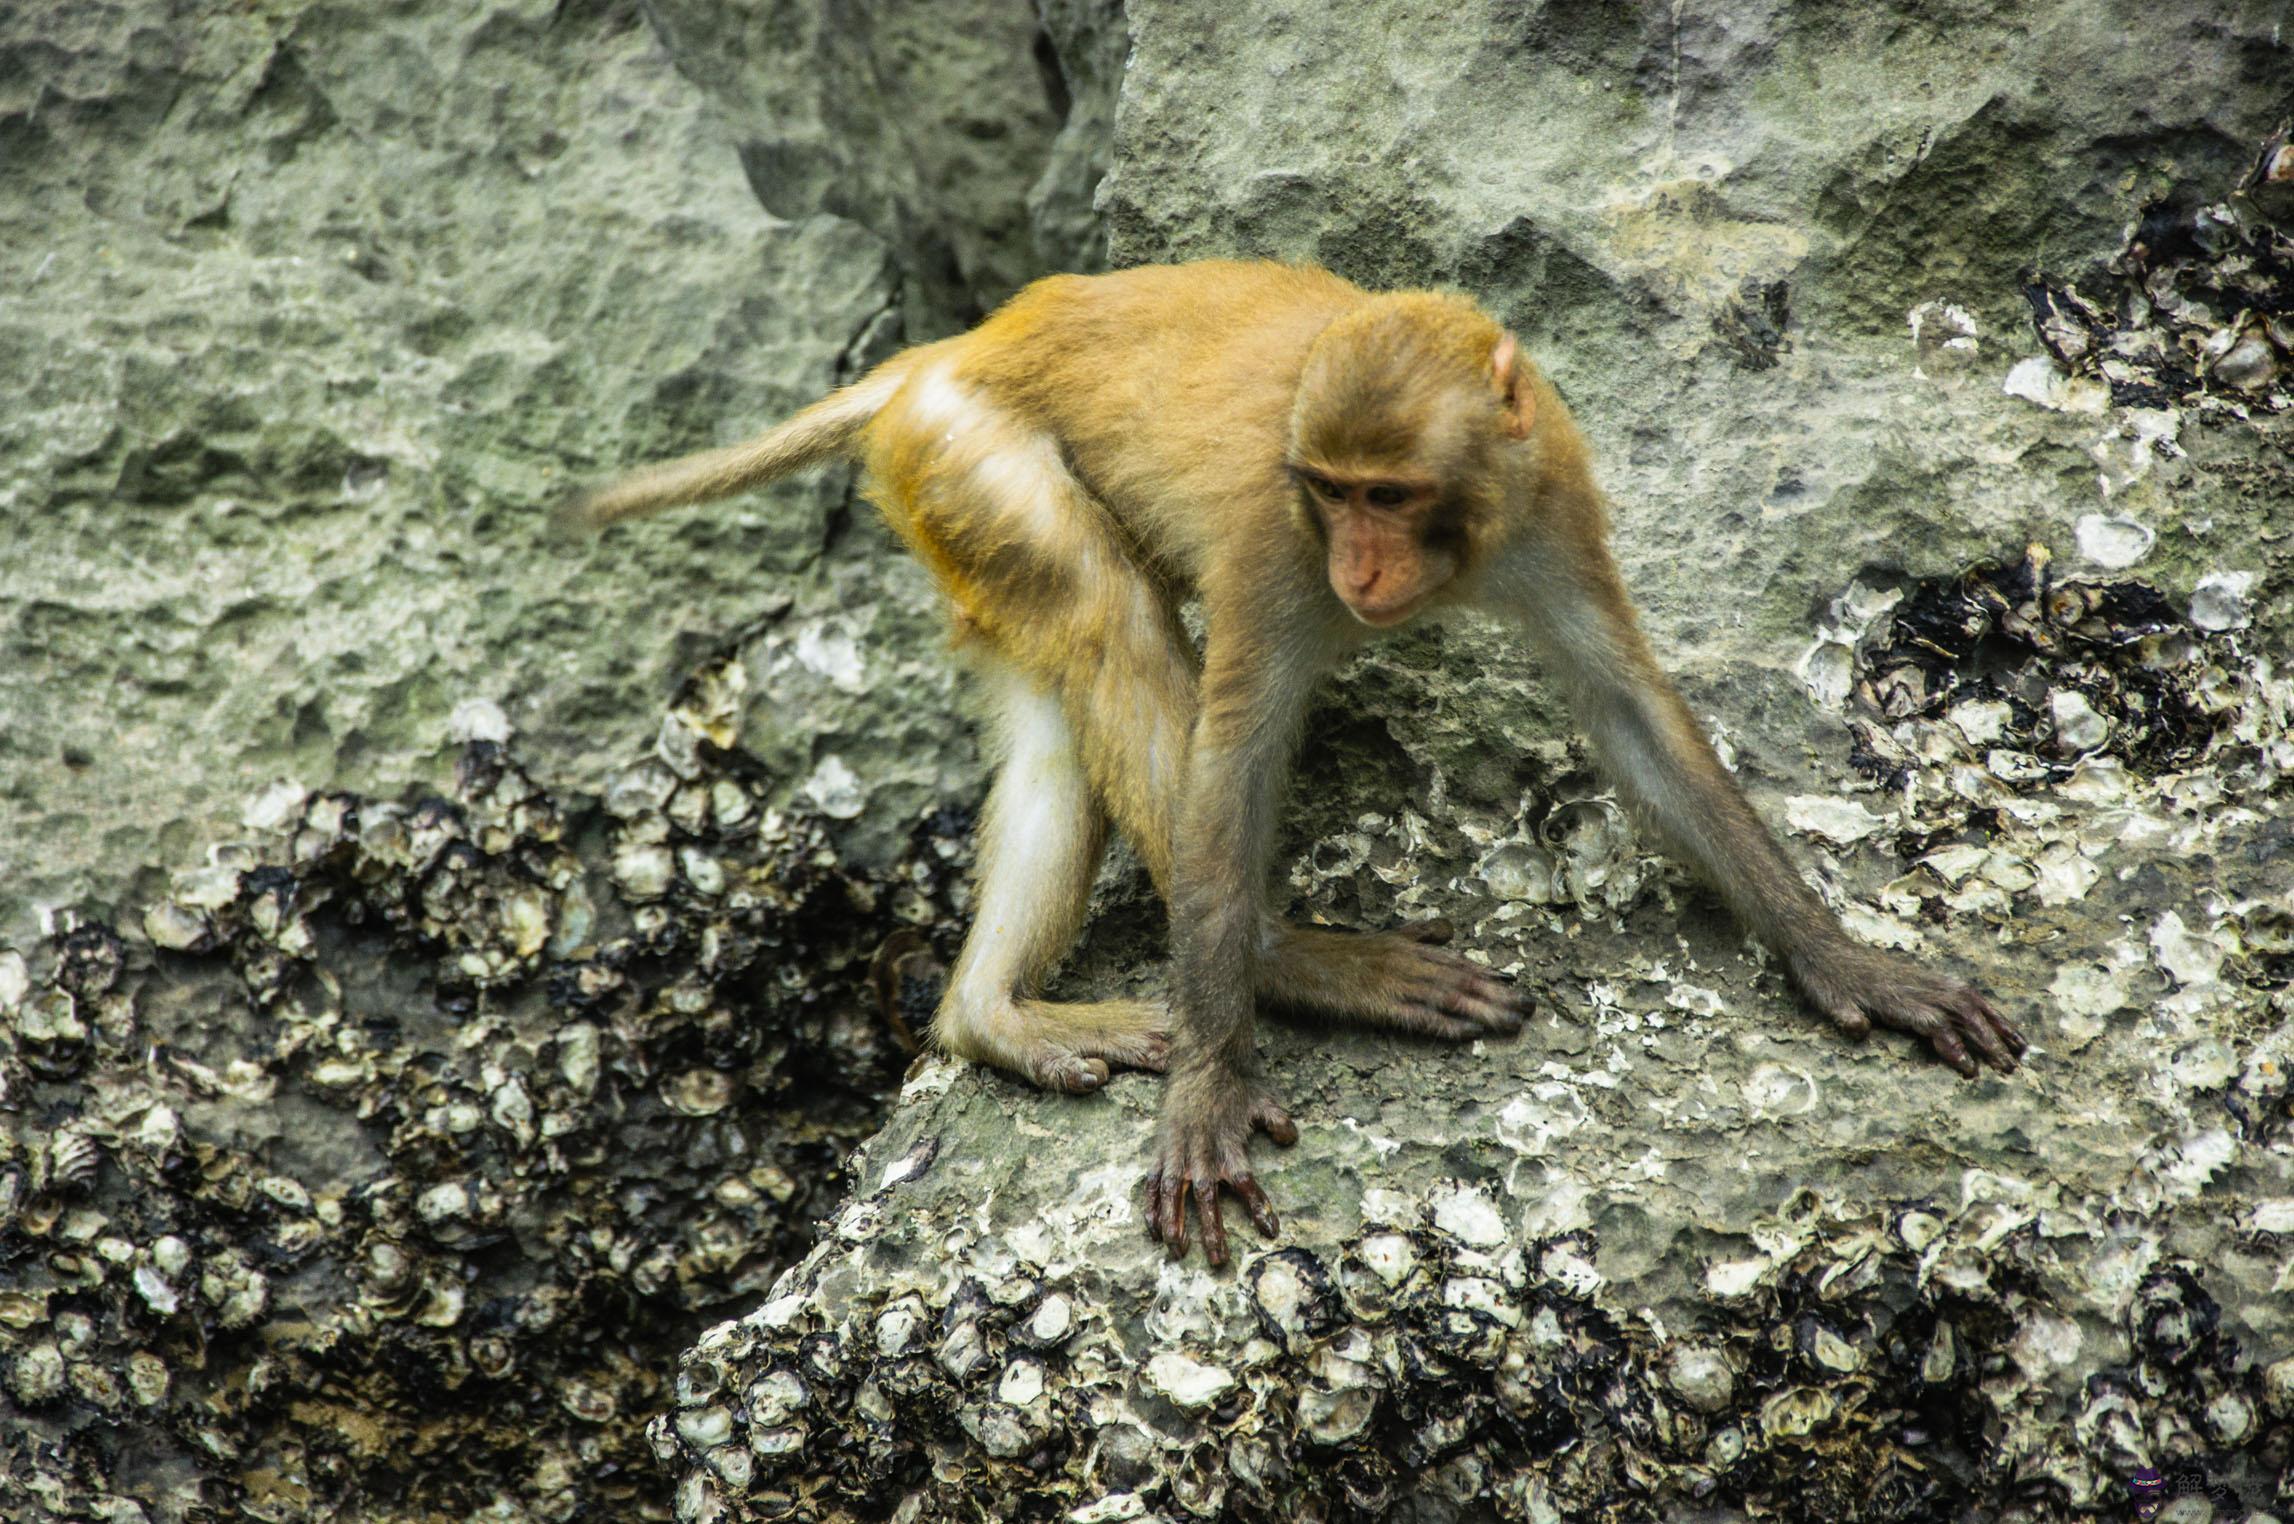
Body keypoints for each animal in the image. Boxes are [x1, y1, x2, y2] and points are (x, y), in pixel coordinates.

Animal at [559, 259, 2027, 1257]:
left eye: (1389, 494)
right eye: (1329, 493)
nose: (1359, 567)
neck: (1461, 532)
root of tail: (961, 341)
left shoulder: (1550, 484)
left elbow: (1626, 712)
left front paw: (1841, 963)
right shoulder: (1274, 542)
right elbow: (1233, 747)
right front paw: (1217, 1080)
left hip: (951, 506)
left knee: (1055, 723)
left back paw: (984, 1016)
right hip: (978, 459)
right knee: (1117, 638)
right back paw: (1290, 967)